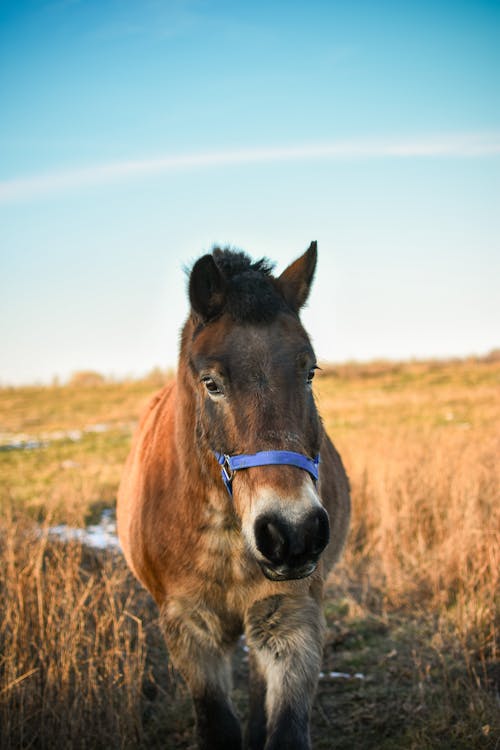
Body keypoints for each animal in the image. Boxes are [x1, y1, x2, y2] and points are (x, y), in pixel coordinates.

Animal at [117, 244, 352, 748]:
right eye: (211, 383)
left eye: (310, 372)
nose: (293, 533)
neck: (227, 537)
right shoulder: (190, 630)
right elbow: (217, 726)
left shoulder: (293, 618)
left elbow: (283, 727)